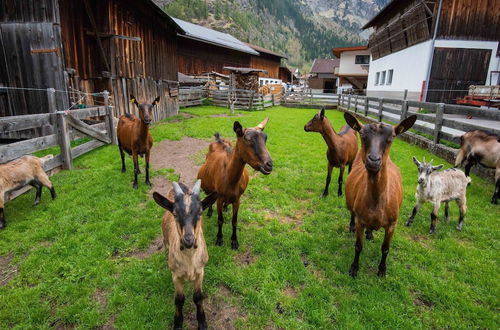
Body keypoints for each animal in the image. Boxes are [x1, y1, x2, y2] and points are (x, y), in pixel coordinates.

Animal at [151, 180, 216, 330]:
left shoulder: (200, 271)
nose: (188, 240)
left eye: (200, 212)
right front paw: (178, 323)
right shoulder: (176, 275)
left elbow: (198, 297)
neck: (190, 260)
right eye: (175, 213)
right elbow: (179, 300)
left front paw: (202, 322)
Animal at [197, 117, 274, 249]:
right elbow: (220, 220)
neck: (230, 180)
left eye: (265, 138)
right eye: (248, 139)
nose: (269, 165)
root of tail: (219, 140)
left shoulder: (237, 199)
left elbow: (234, 221)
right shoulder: (219, 198)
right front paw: (219, 239)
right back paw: (210, 211)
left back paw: (226, 207)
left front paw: (234, 241)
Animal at [344, 112, 418, 278]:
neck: (377, 203)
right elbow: (358, 246)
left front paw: (382, 270)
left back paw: (370, 234)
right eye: (362, 134)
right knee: (351, 212)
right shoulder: (360, 220)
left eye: (392, 137)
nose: (373, 160)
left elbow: (385, 249)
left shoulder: (392, 224)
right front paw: (354, 268)